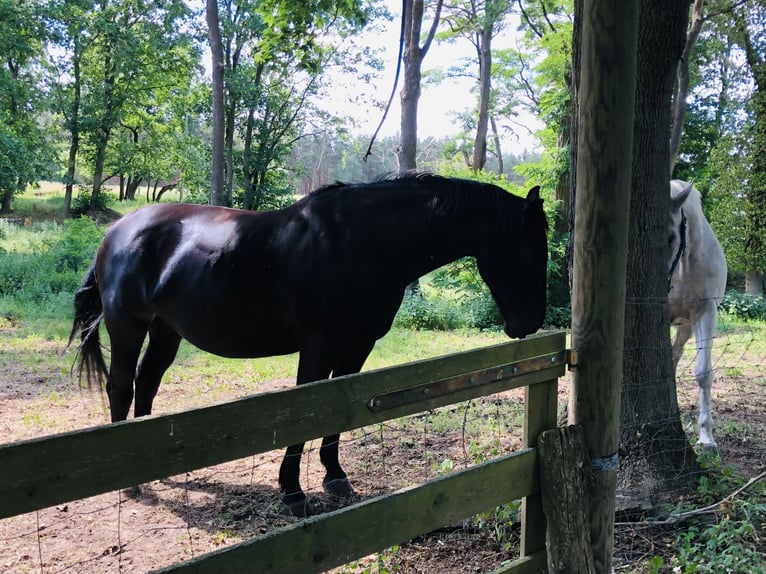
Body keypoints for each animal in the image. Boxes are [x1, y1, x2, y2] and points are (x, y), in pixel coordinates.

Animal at [69, 171, 549, 516]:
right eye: (527, 251)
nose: (530, 323)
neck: (365, 245)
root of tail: (117, 230)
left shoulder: (358, 346)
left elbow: (339, 413)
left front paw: (335, 479)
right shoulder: (318, 347)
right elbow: (306, 414)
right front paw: (292, 493)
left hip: (166, 331)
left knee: (147, 383)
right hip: (128, 326)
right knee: (121, 387)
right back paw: (130, 484)